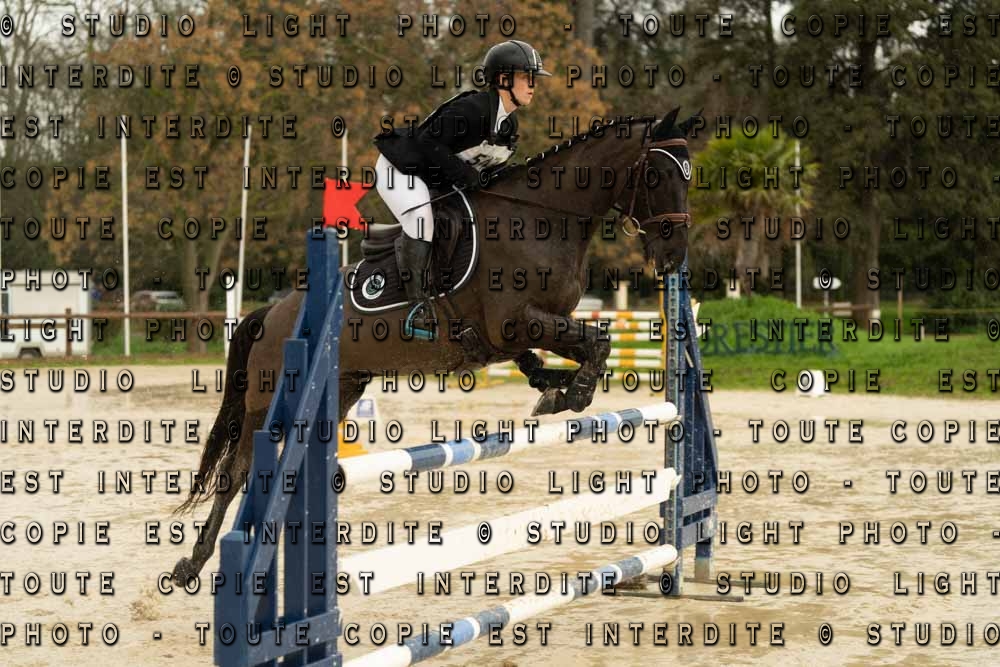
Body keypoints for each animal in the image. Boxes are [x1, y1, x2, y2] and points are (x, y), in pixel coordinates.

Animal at [171, 107, 699, 584]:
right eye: (657, 174)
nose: (674, 256)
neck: (542, 218)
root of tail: (273, 312)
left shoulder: (531, 327)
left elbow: (582, 345)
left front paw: (554, 387)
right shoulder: (515, 323)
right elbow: (597, 341)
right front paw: (571, 395)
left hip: (342, 388)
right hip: (268, 398)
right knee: (238, 471)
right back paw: (193, 565)